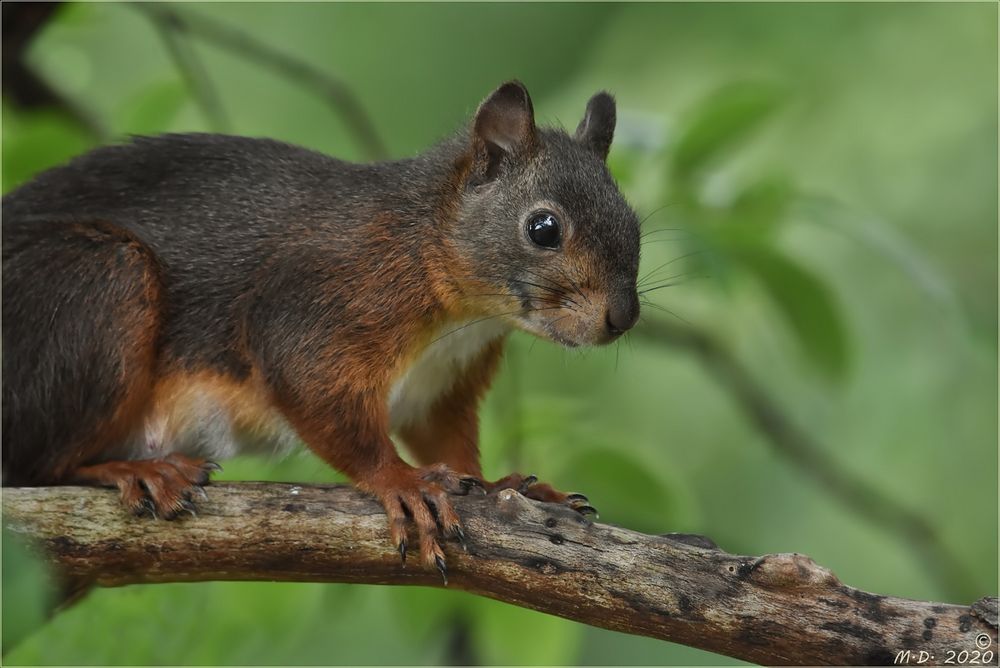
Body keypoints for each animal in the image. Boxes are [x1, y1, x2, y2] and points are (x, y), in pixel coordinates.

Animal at [1, 81, 640, 576]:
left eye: (633, 221)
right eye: (543, 228)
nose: (623, 317)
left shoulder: (442, 386)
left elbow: (447, 440)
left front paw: (507, 486)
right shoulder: (315, 306)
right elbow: (322, 402)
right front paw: (402, 482)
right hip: (98, 284)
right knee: (39, 465)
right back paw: (135, 469)